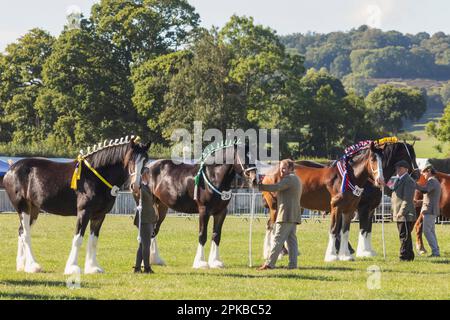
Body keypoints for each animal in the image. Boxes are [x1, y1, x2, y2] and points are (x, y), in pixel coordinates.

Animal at [3, 136, 150, 274]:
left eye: (145, 161)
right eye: (130, 160)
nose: (135, 186)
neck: (94, 177)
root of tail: (11, 170)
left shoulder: (99, 215)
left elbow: (93, 240)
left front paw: (93, 267)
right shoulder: (84, 212)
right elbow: (78, 239)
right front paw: (72, 267)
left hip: (34, 209)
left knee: (21, 231)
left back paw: (22, 266)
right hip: (23, 207)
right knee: (26, 234)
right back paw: (33, 266)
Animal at [130, 139, 256, 268]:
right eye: (244, 156)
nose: (254, 178)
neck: (214, 176)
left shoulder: (221, 212)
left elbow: (216, 235)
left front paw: (216, 262)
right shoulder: (204, 211)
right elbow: (202, 235)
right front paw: (200, 262)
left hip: (161, 207)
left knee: (154, 229)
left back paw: (155, 259)